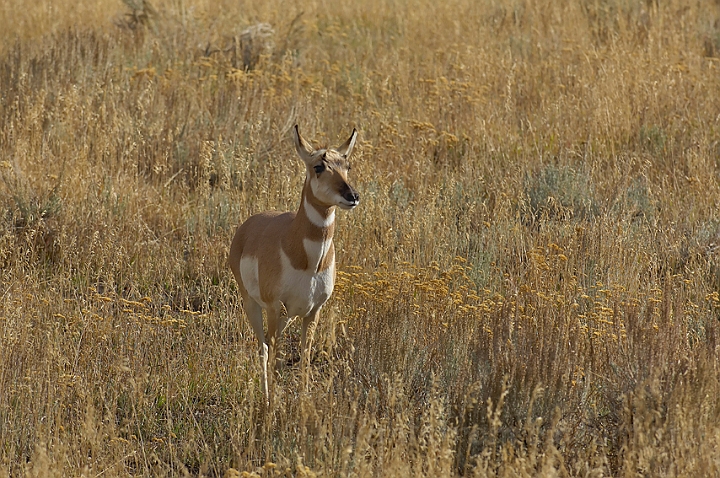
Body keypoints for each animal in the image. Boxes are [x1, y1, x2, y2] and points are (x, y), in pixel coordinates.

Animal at [231, 125, 360, 402]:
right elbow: (274, 356)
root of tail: (249, 224)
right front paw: (273, 404)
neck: (308, 263)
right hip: (254, 306)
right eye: (318, 166)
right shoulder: (274, 308)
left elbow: (304, 358)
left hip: (287, 317)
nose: (352, 195)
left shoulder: (313, 311)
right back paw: (266, 398)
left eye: (347, 165)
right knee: (264, 349)